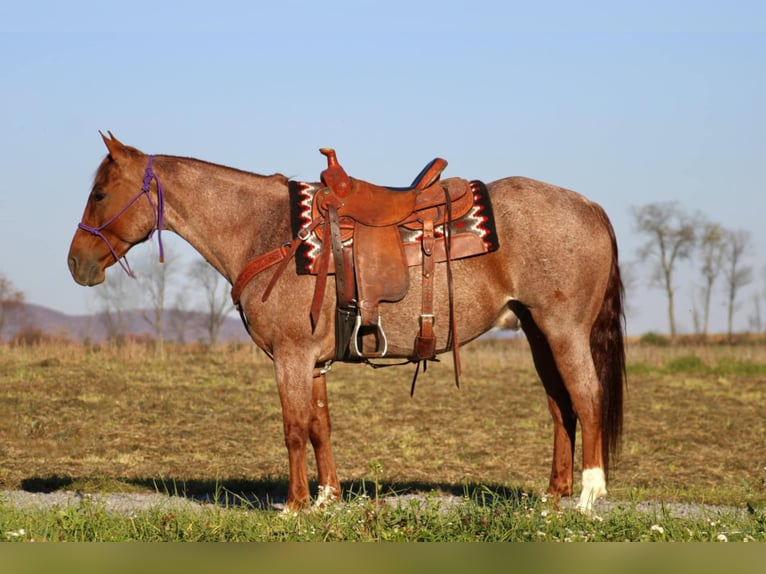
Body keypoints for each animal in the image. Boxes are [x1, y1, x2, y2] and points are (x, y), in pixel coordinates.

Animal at [69, 133, 628, 516]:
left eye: (99, 194)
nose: (77, 263)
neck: (266, 231)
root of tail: (590, 206)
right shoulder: (313, 362)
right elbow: (321, 427)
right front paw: (326, 499)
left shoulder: (291, 356)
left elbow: (294, 428)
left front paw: (294, 506)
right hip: (536, 332)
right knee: (560, 408)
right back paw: (551, 497)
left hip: (563, 330)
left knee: (586, 398)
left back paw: (588, 495)